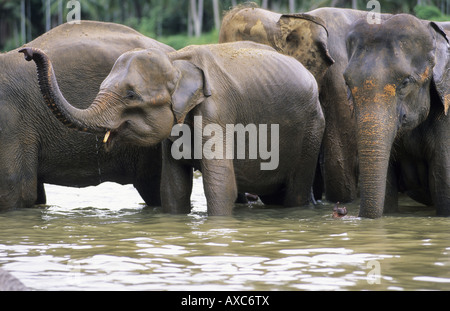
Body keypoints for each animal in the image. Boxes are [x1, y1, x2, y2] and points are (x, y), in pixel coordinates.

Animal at [21, 40, 326, 217]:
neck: (177, 60)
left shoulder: (218, 113)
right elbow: (173, 186)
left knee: (296, 190)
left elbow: (220, 184)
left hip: (313, 129)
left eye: (131, 95)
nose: (26, 51)